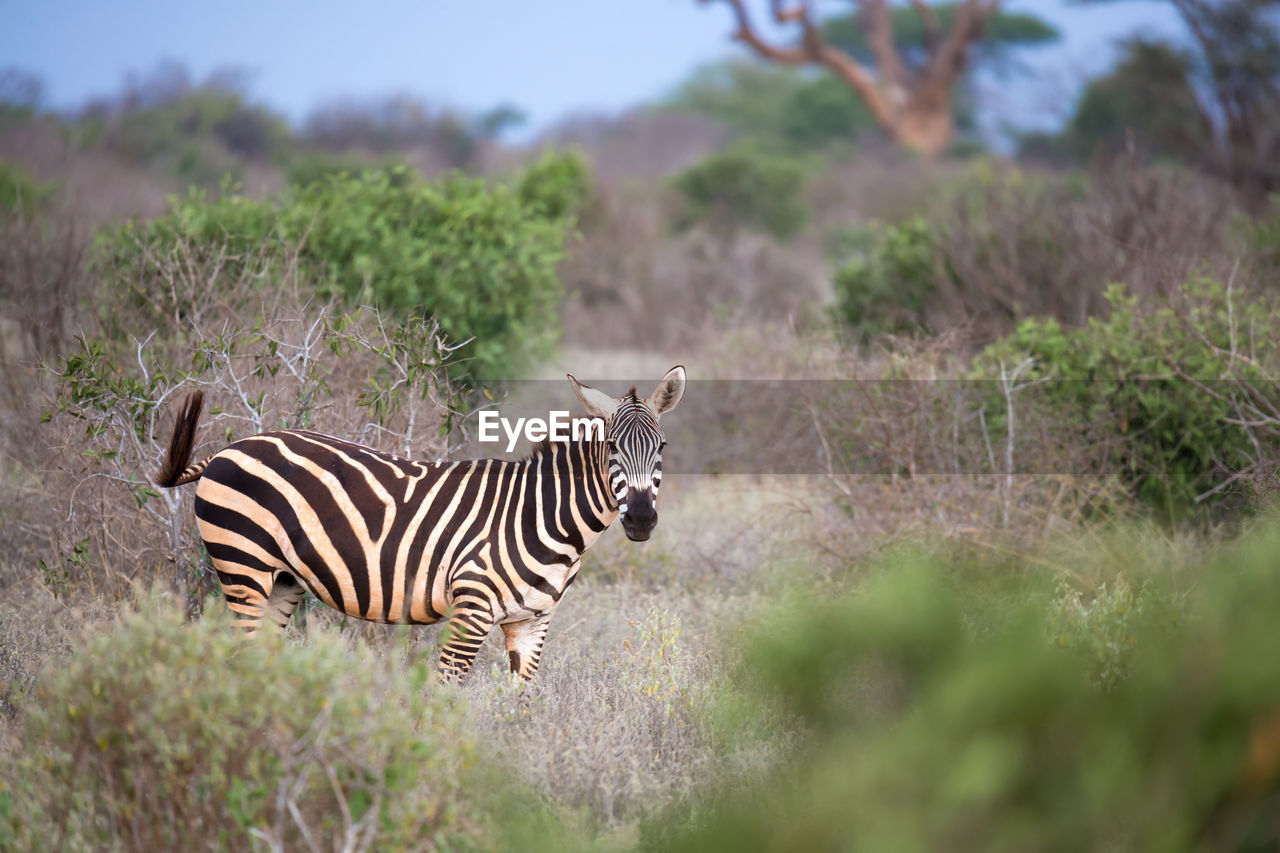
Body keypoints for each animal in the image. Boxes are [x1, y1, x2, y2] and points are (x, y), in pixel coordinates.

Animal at [153, 363, 686, 676]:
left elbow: (522, 707)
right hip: (243, 564)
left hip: (283, 579)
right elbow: (448, 695)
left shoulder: (533, 622)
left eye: (662, 446)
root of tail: (230, 448)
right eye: (612, 448)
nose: (641, 520)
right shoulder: (472, 609)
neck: (547, 520)